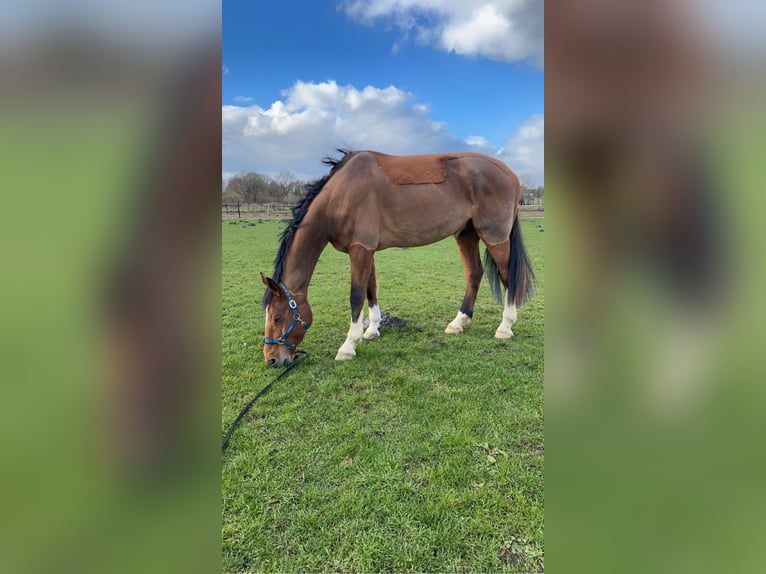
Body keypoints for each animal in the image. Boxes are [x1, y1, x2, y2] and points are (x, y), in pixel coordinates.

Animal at [258, 151, 536, 366]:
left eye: (277, 317)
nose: (272, 359)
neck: (342, 194)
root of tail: (509, 174)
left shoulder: (360, 249)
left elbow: (356, 296)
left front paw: (348, 346)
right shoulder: (365, 250)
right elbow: (371, 290)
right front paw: (371, 330)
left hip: (495, 236)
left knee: (507, 276)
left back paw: (505, 328)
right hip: (466, 234)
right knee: (474, 273)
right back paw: (458, 322)